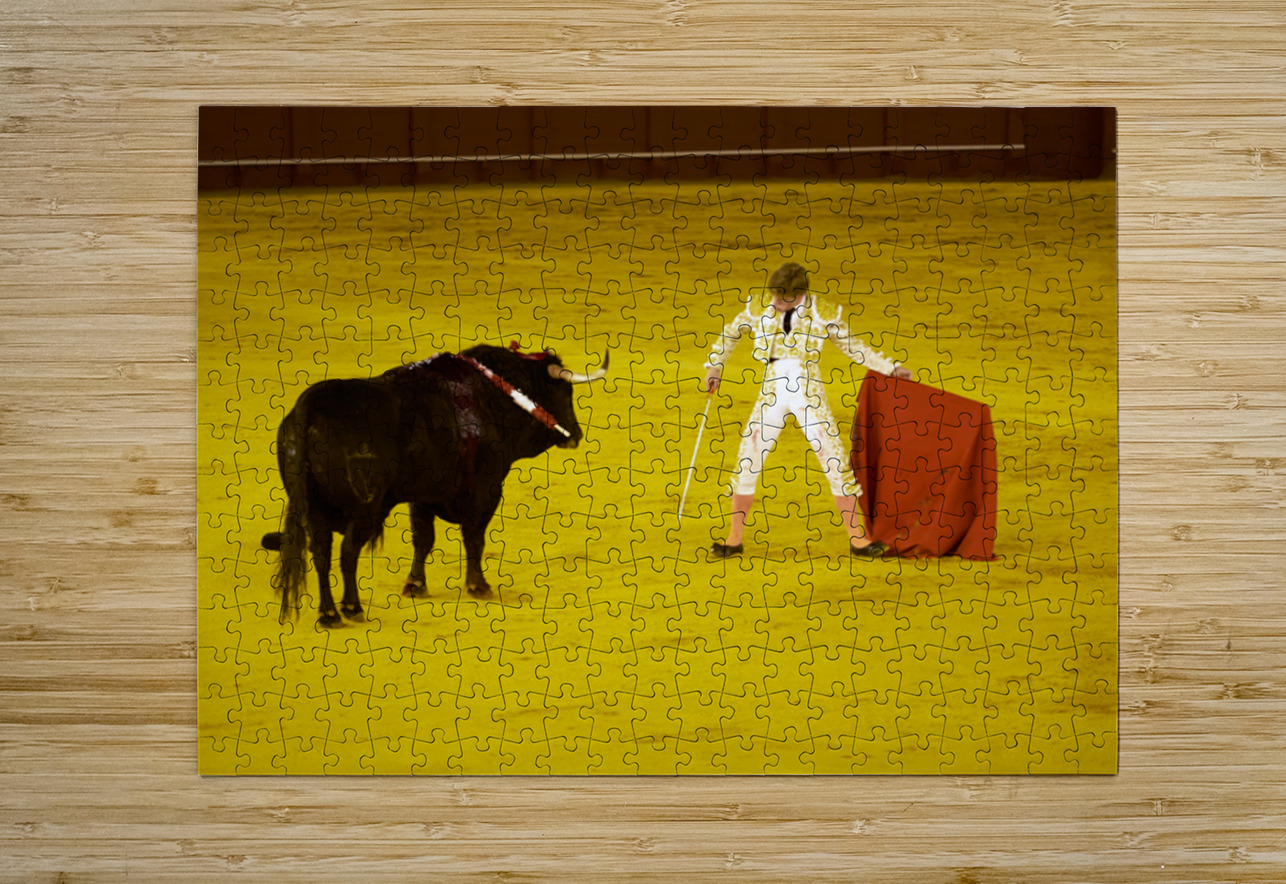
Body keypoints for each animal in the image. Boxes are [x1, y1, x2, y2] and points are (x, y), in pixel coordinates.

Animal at [261, 343, 608, 627]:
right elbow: (474, 537)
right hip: (365, 509)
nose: (575, 434)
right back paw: (352, 608)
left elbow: (423, 539)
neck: (493, 395)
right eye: (564, 394)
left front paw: (415, 584)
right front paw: (478, 585)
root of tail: (309, 408)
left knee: (320, 552)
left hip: (314, 510)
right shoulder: (486, 489)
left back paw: (329, 614)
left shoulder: (423, 495)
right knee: (347, 552)